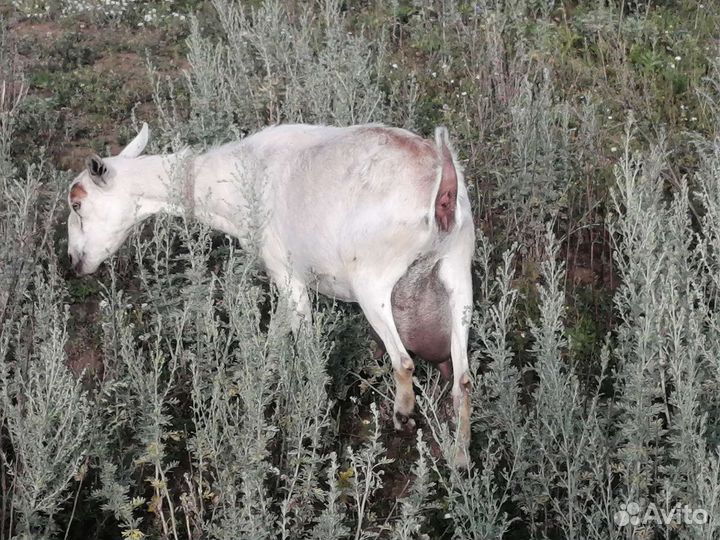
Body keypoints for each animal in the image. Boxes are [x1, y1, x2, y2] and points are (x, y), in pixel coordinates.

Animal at [66, 122, 475, 466]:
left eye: (77, 203)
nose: (73, 261)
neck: (236, 179)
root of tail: (442, 186)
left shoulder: (286, 272)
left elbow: (304, 341)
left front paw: (310, 406)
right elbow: (277, 334)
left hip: (372, 281)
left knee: (403, 361)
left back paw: (404, 415)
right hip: (459, 278)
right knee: (463, 379)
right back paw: (459, 458)